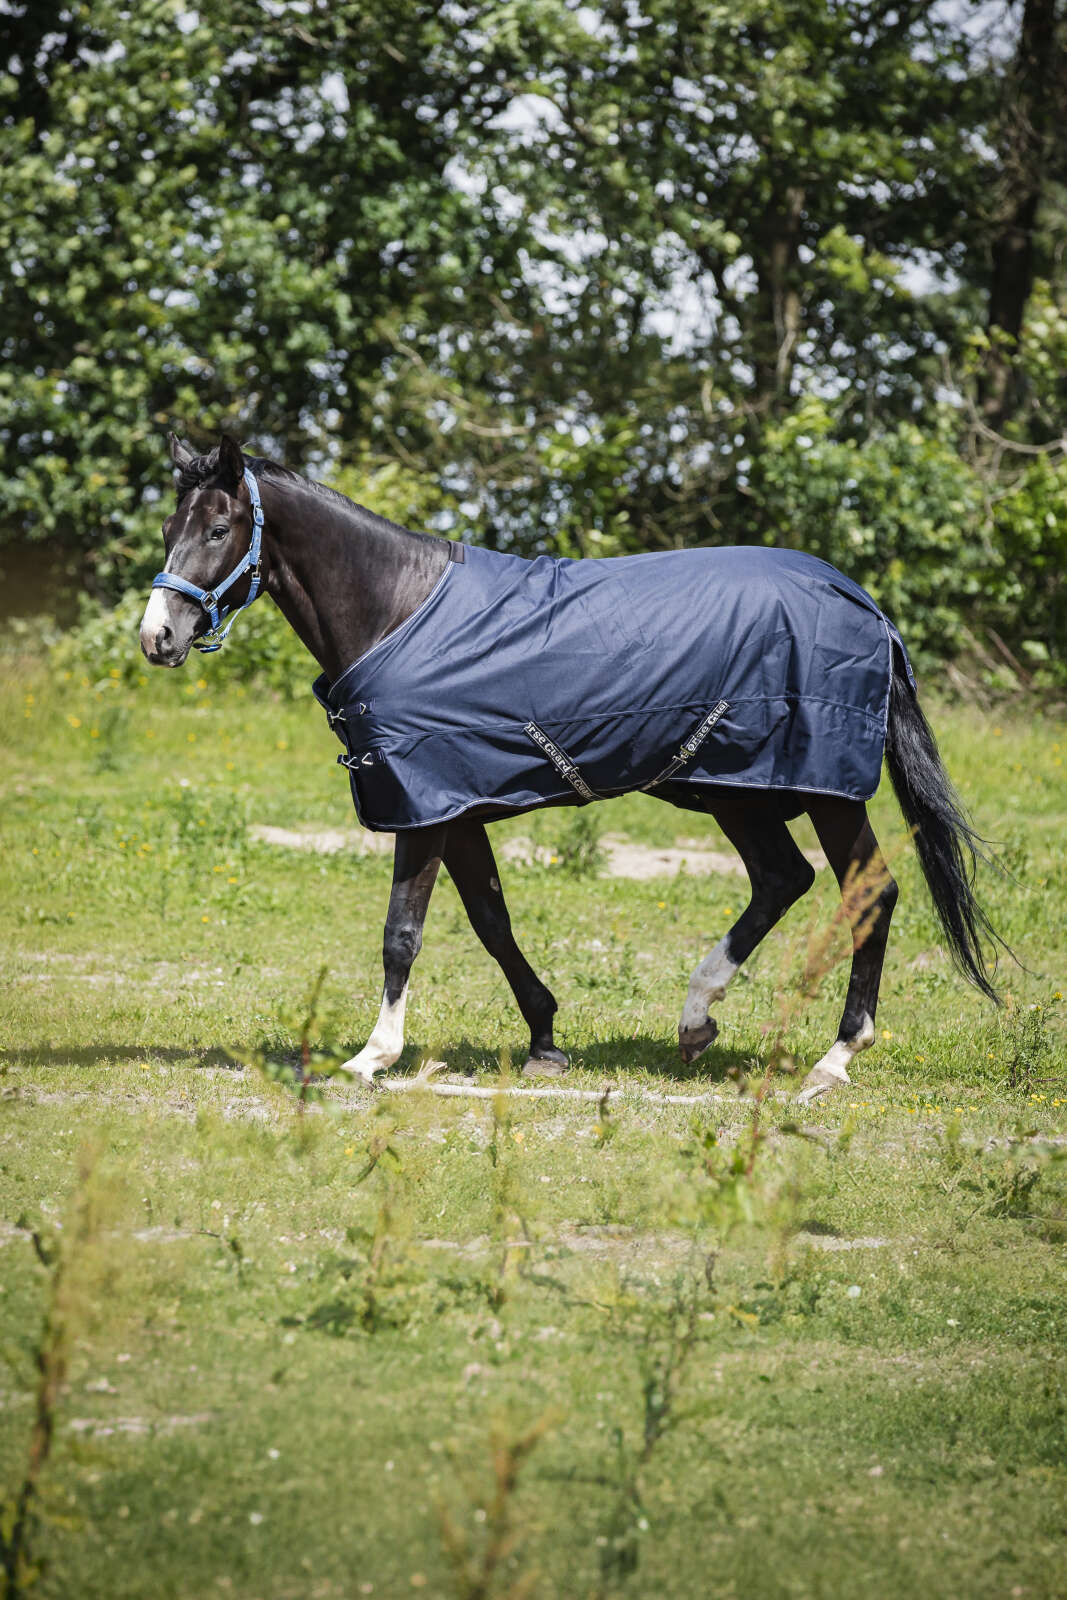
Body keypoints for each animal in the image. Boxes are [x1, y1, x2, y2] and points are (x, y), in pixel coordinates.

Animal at [140, 433, 1003, 1103]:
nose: (158, 637)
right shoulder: (455, 809)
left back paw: (833, 1057)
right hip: (736, 788)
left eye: (218, 527)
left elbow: (401, 934)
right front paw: (545, 1038)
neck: (397, 611)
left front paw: (370, 1057)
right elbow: (491, 923)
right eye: (170, 525)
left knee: (870, 893)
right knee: (781, 879)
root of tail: (864, 604)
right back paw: (696, 1020)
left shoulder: (423, 810)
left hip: (821, 790)